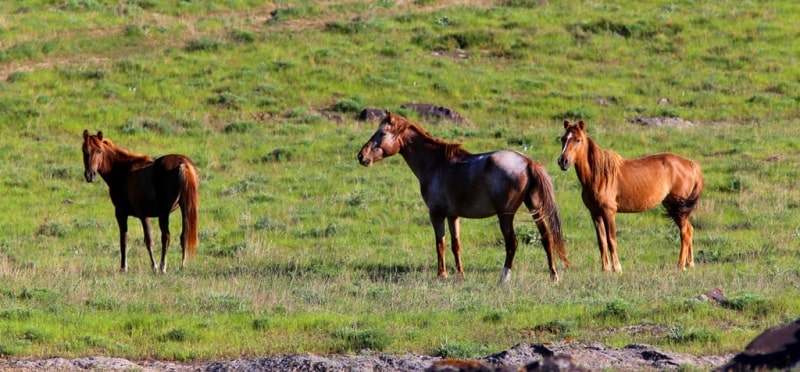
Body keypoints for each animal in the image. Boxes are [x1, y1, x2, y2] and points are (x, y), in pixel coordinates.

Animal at [81, 132, 200, 274]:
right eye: (85, 151)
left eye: (99, 151)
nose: (90, 175)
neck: (123, 171)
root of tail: (183, 164)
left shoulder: (126, 213)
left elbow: (130, 240)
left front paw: (128, 267)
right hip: (185, 208)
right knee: (184, 236)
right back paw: (182, 265)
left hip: (164, 213)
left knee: (166, 237)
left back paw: (162, 267)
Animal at [356, 112, 568, 284]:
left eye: (382, 134)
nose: (361, 156)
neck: (436, 164)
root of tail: (527, 162)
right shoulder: (453, 216)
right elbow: (455, 245)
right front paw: (460, 274)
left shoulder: (436, 214)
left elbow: (440, 244)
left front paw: (442, 274)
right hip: (535, 208)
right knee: (546, 238)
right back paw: (553, 275)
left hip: (505, 215)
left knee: (512, 243)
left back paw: (504, 278)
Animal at [560, 120, 704, 272]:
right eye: (563, 139)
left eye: (578, 140)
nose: (563, 161)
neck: (599, 175)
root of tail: (690, 164)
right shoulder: (595, 213)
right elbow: (602, 241)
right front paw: (605, 269)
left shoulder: (609, 212)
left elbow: (611, 240)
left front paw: (617, 268)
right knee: (689, 229)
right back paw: (690, 263)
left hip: (678, 208)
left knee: (685, 232)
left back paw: (680, 265)